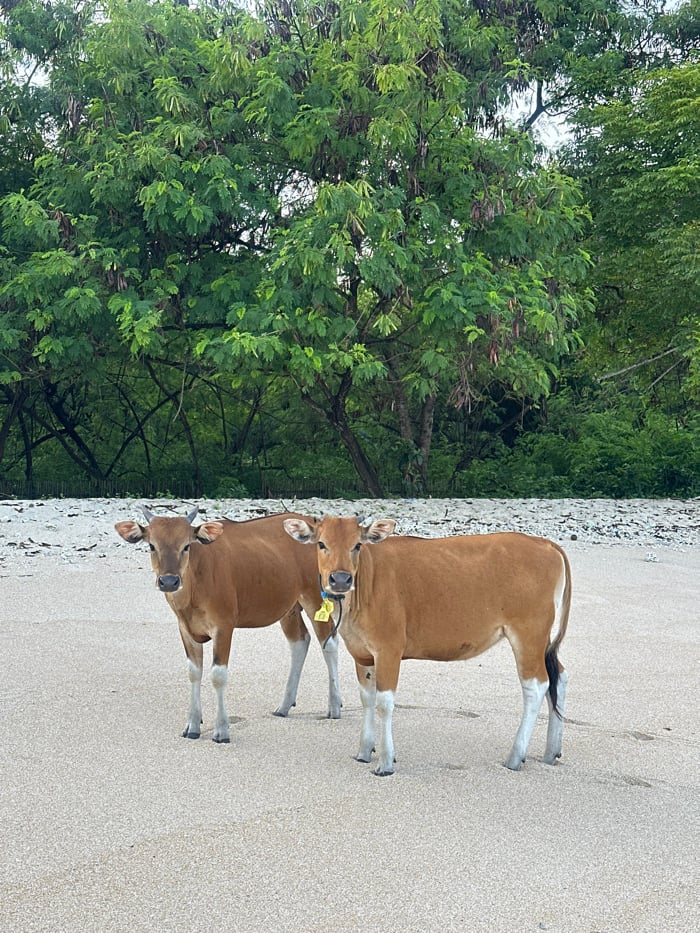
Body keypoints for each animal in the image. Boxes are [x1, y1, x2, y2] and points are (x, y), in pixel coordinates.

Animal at [115, 507, 342, 743]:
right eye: (152, 545)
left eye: (186, 545)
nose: (169, 581)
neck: (195, 585)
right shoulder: (185, 629)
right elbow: (193, 672)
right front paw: (192, 725)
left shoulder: (223, 627)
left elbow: (218, 675)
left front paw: (222, 730)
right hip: (289, 607)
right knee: (300, 641)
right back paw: (284, 705)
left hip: (314, 596)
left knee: (329, 642)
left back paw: (334, 706)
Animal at [284, 515, 571, 775]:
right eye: (321, 544)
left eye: (357, 545)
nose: (341, 579)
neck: (365, 587)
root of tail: (546, 544)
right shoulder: (362, 654)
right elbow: (367, 699)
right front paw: (365, 751)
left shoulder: (389, 650)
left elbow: (384, 702)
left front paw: (386, 761)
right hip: (542, 638)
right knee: (559, 676)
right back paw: (551, 751)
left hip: (528, 633)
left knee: (536, 685)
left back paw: (515, 756)